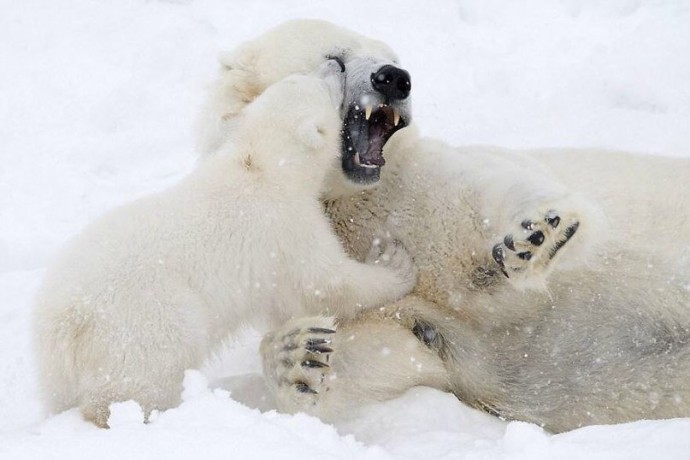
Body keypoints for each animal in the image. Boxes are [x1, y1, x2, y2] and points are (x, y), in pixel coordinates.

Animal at [199, 20, 688, 432]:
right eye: (335, 58)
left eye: (389, 54)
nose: (394, 78)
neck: (358, 203)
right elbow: (383, 351)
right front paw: (299, 354)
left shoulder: (425, 183)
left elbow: (504, 192)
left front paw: (537, 237)